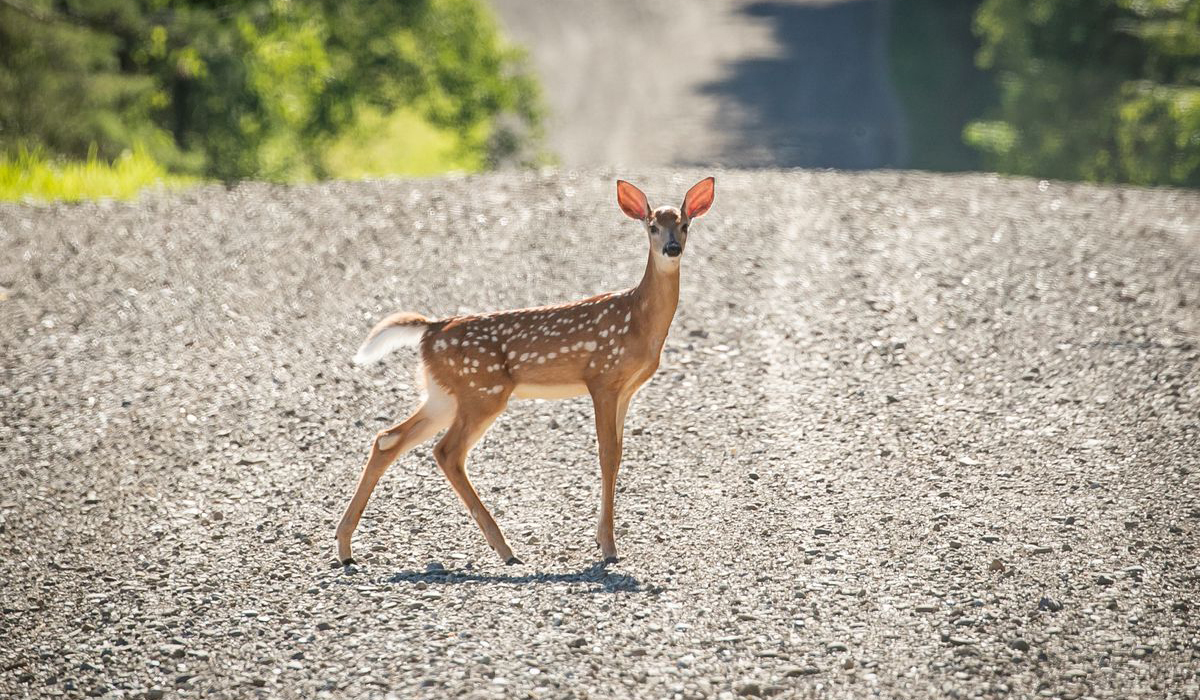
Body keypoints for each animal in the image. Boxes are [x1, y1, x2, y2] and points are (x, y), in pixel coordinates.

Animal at [335, 177, 715, 566]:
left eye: (685, 225)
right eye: (651, 226)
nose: (672, 248)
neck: (638, 319)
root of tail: (430, 329)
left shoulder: (626, 389)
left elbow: (619, 453)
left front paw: (601, 539)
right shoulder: (602, 378)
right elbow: (607, 454)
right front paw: (608, 547)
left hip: (443, 394)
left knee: (388, 438)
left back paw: (345, 548)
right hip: (482, 392)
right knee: (446, 451)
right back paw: (505, 549)